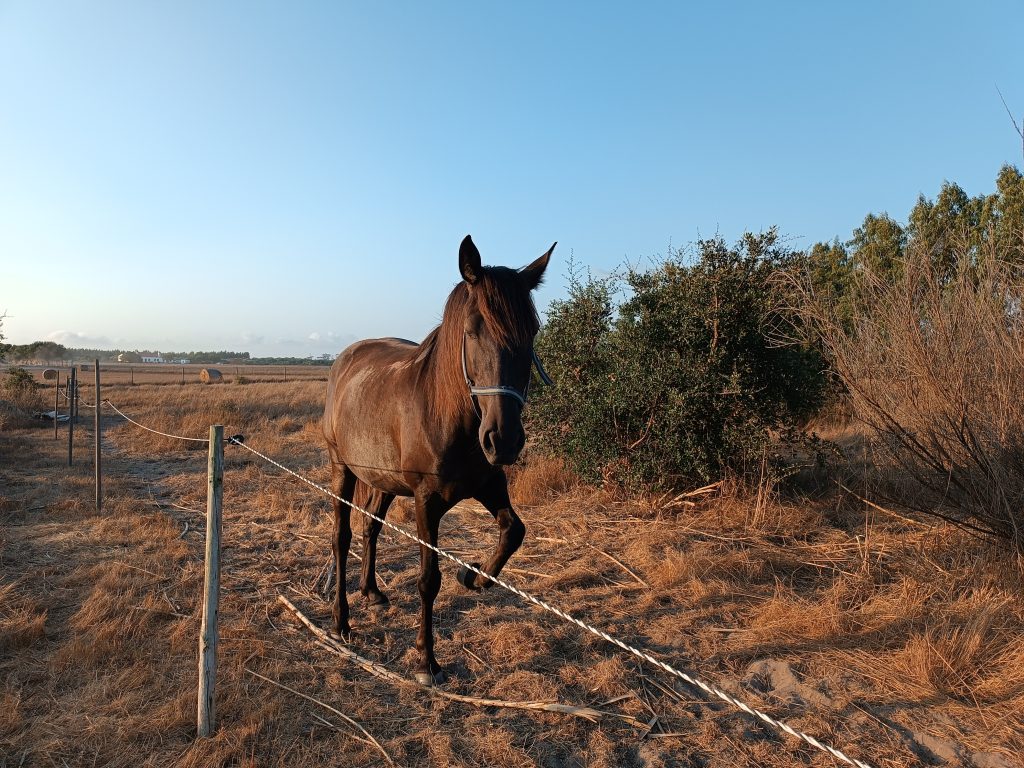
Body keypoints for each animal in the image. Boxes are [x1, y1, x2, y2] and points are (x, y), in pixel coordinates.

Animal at [322, 235, 554, 685]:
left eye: (532, 331)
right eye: (473, 329)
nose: (504, 440)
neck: (448, 414)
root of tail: (345, 359)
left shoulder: (490, 485)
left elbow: (513, 531)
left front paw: (474, 575)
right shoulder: (427, 501)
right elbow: (429, 580)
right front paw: (426, 660)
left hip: (383, 479)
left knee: (370, 527)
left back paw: (372, 592)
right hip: (342, 470)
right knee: (342, 537)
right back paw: (341, 622)